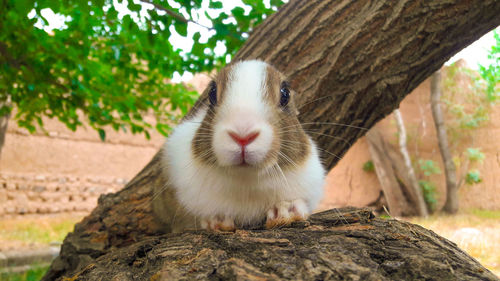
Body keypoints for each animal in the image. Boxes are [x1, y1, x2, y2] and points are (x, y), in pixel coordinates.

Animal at [154, 60, 326, 231]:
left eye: (285, 94)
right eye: (212, 93)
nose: (243, 136)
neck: (246, 179)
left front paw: (285, 211)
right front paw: (216, 220)